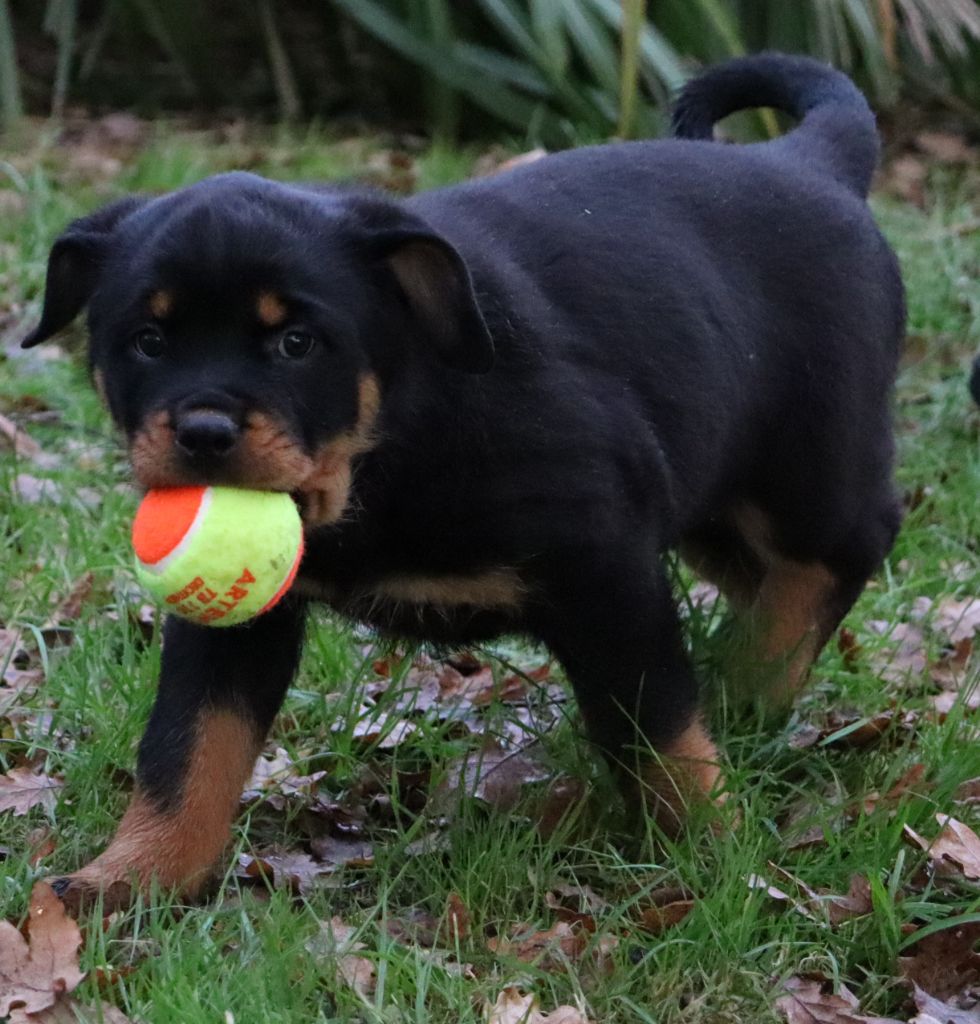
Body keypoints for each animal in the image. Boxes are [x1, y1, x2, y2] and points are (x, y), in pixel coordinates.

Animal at [22, 54, 905, 913]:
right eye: (147, 340)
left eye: (297, 343)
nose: (203, 431)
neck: (389, 448)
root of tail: (809, 159)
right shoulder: (237, 623)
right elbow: (190, 745)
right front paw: (131, 877)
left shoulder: (607, 569)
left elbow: (656, 727)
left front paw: (712, 856)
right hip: (710, 498)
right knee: (763, 573)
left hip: (809, 463)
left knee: (839, 552)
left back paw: (758, 681)